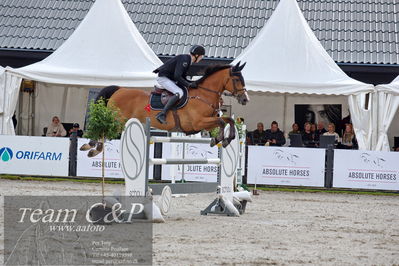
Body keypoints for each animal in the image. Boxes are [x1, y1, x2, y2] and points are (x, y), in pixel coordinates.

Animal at [82, 62, 250, 156]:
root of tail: (120, 89)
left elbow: (228, 120)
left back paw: (91, 147)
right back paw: (92, 148)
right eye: (237, 79)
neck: (204, 94)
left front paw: (228, 139)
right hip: (117, 120)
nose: (245, 99)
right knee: (102, 130)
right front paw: (218, 139)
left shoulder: (207, 122)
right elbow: (221, 122)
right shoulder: (199, 122)